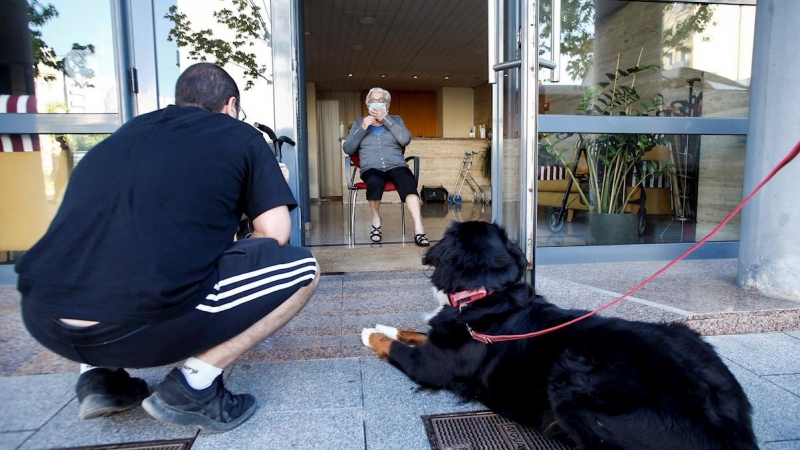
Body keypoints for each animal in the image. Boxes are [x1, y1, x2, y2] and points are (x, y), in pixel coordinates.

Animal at [362, 221, 756, 450]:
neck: (486, 293)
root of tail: (733, 425)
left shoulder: (430, 366)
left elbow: (397, 347)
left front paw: (369, 334)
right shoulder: (437, 345)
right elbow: (410, 333)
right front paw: (381, 326)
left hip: (573, 378)